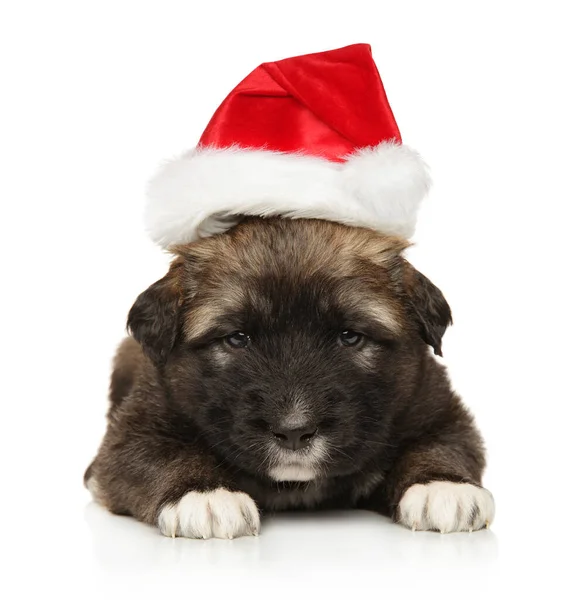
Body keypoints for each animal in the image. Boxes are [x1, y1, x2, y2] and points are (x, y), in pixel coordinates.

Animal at [85, 217, 496, 540]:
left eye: (350, 336)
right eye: (237, 338)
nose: (295, 432)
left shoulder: (439, 410)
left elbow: (441, 444)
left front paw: (443, 487)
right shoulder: (135, 431)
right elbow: (162, 455)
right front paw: (204, 494)